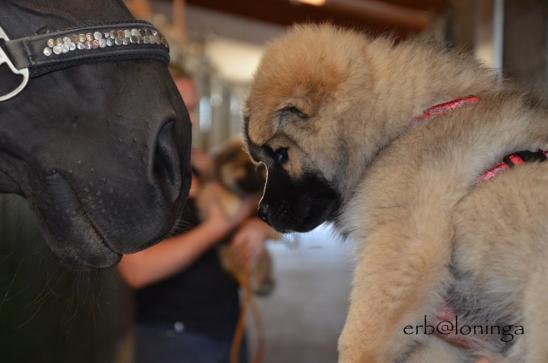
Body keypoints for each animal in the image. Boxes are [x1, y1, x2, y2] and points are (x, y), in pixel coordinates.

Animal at [244, 24, 548, 362]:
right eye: (261, 160)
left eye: (281, 154)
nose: (262, 213)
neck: (400, 130)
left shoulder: (401, 249)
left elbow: (358, 340)